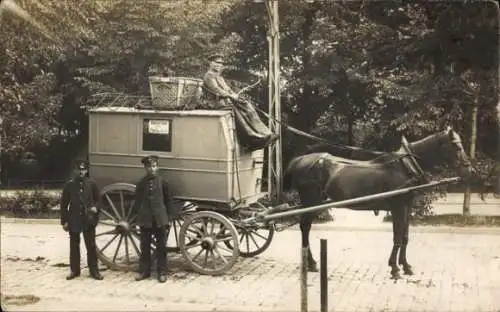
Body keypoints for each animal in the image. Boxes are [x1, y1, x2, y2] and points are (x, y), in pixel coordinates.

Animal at [284, 125, 474, 280]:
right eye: (457, 146)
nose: (470, 170)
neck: (406, 167)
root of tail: (299, 160)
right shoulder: (398, 207)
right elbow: (397, 237)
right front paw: (395, 268)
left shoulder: (407, 207)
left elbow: (405, 237)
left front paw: (406, 266)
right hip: (311, 201)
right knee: (305, 227)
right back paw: (311, 263)